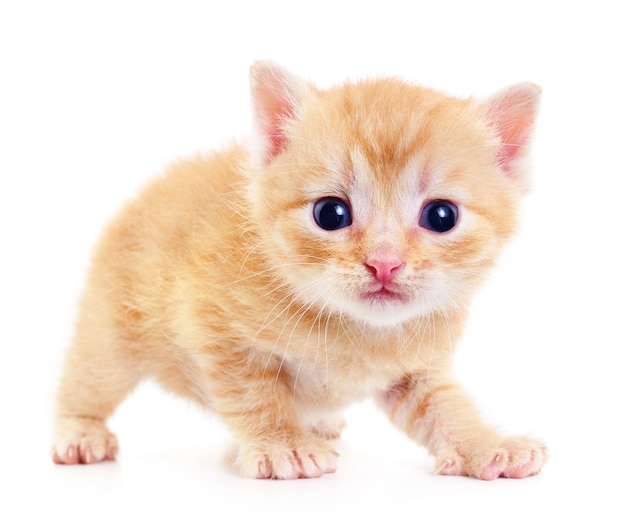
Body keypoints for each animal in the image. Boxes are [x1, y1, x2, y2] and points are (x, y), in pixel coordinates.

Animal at [51, 60, 544, 478]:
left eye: (442, 216)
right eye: (331, 213)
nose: (384, 263)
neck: (356, 330)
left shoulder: (417, 370)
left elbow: (446, 408)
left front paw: (486, 445)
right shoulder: (213, 326)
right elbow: (254, 394)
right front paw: (283, 443)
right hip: (111, 327)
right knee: (90, 376)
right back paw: (80, 431)